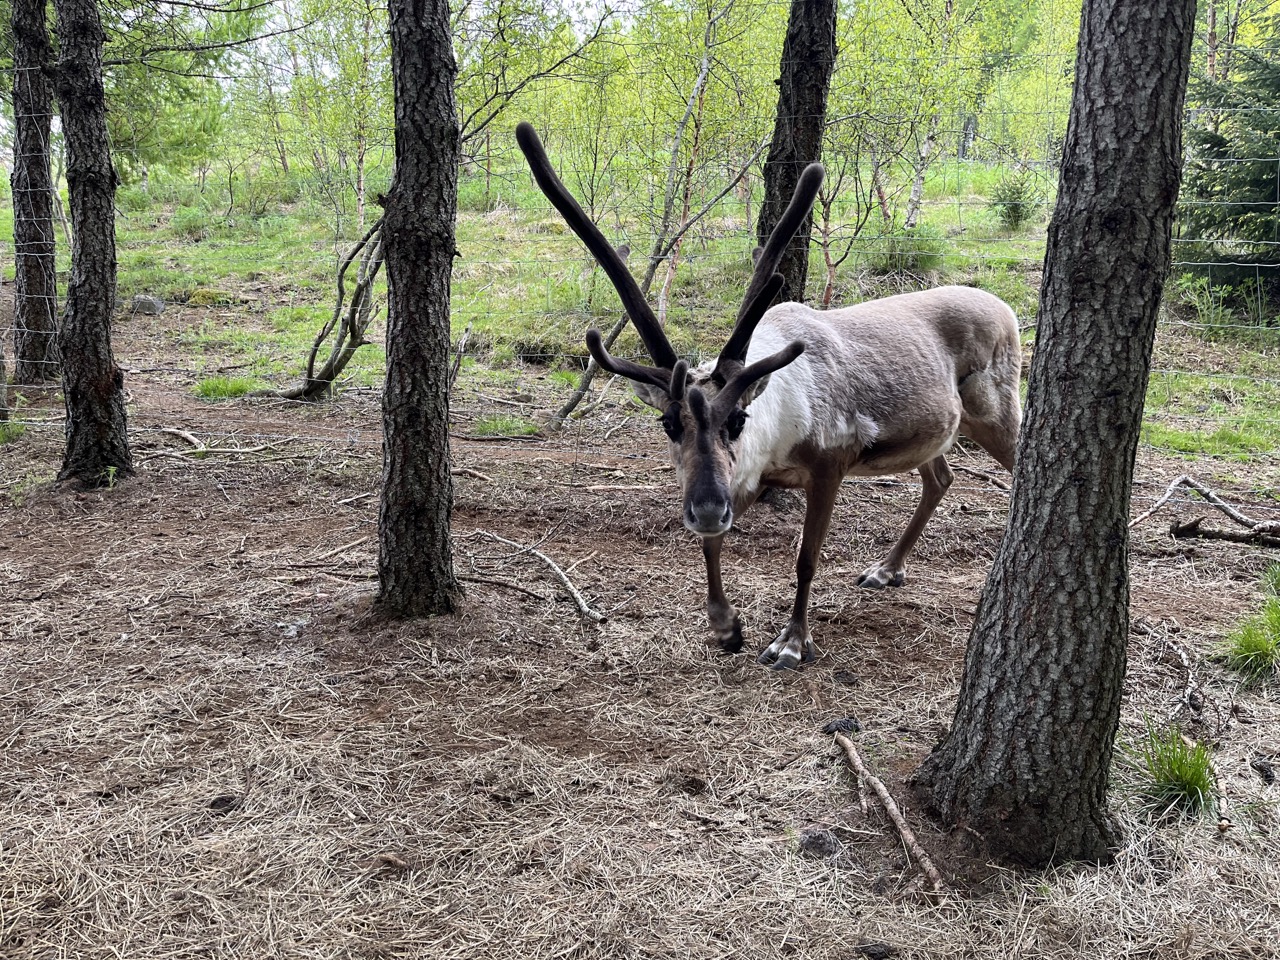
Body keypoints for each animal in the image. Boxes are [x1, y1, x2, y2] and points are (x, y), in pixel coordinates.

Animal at [516, 122, 1022, 670]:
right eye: (668, 424)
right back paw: (886, 569)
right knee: (941, 476)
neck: (778, 431)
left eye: (739, 418)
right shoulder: (747, 479)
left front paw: (792, 642)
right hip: (935, 431)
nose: (705, 507)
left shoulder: (829, 464)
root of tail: (1007, 308)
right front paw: (726, 626)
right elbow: (712, 545)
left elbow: (806, 558)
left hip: (996, 410)